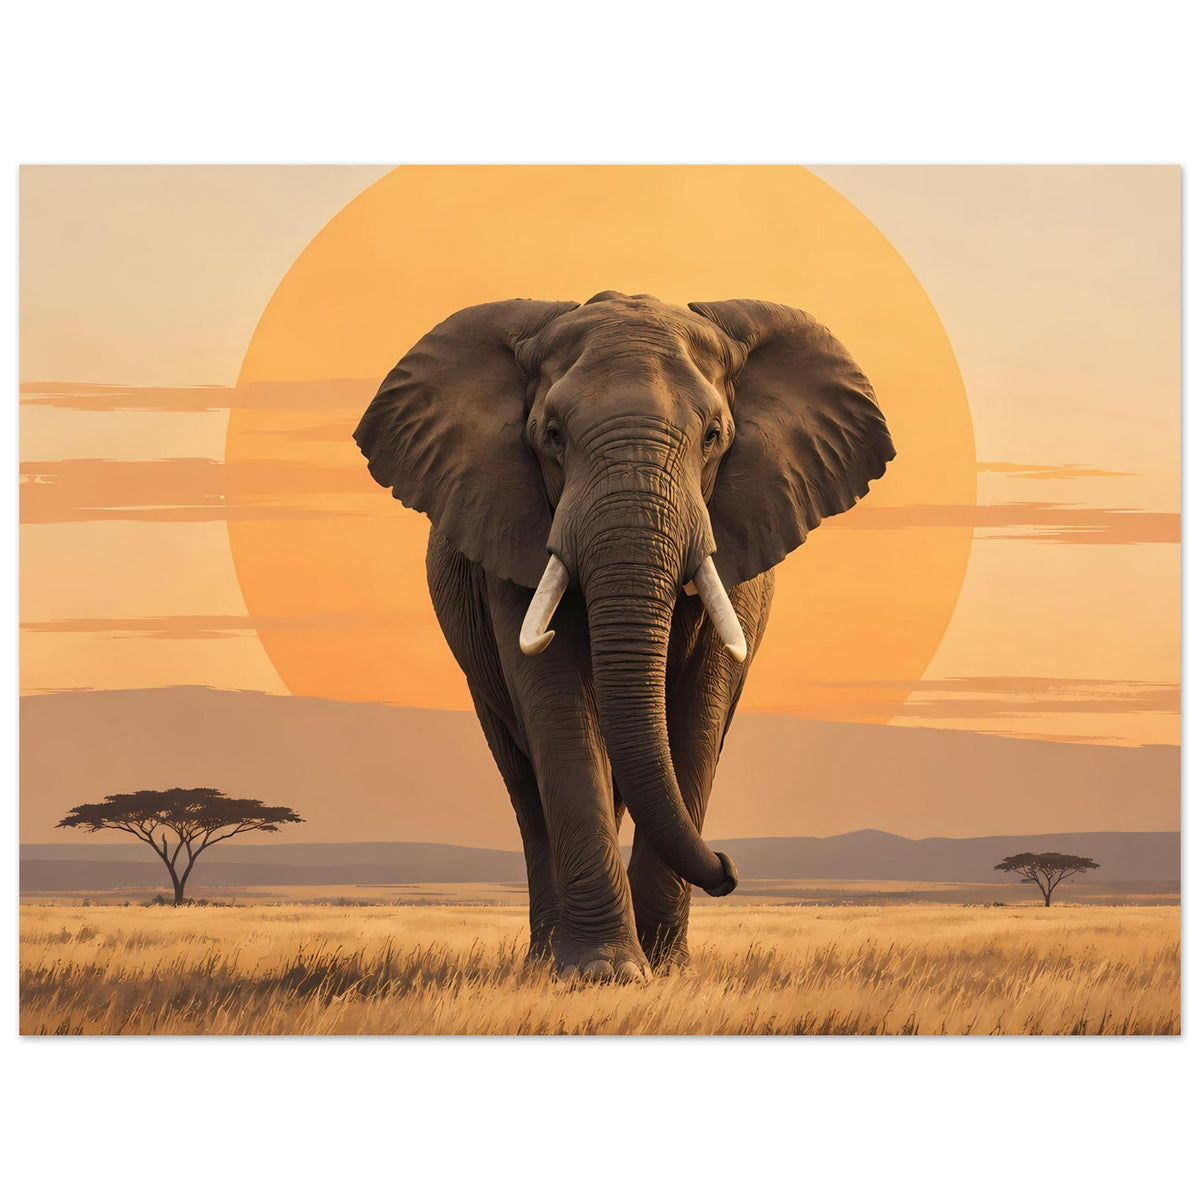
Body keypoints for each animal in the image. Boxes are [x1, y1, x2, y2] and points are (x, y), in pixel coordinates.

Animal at [354, 291, 893, 981]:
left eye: (714, 436)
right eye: (551, 436)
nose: (729, 869)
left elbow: (699, 712)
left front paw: (667, 971)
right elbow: (556, 704)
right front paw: (603, 974)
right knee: (525, 782)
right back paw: (544, 962)